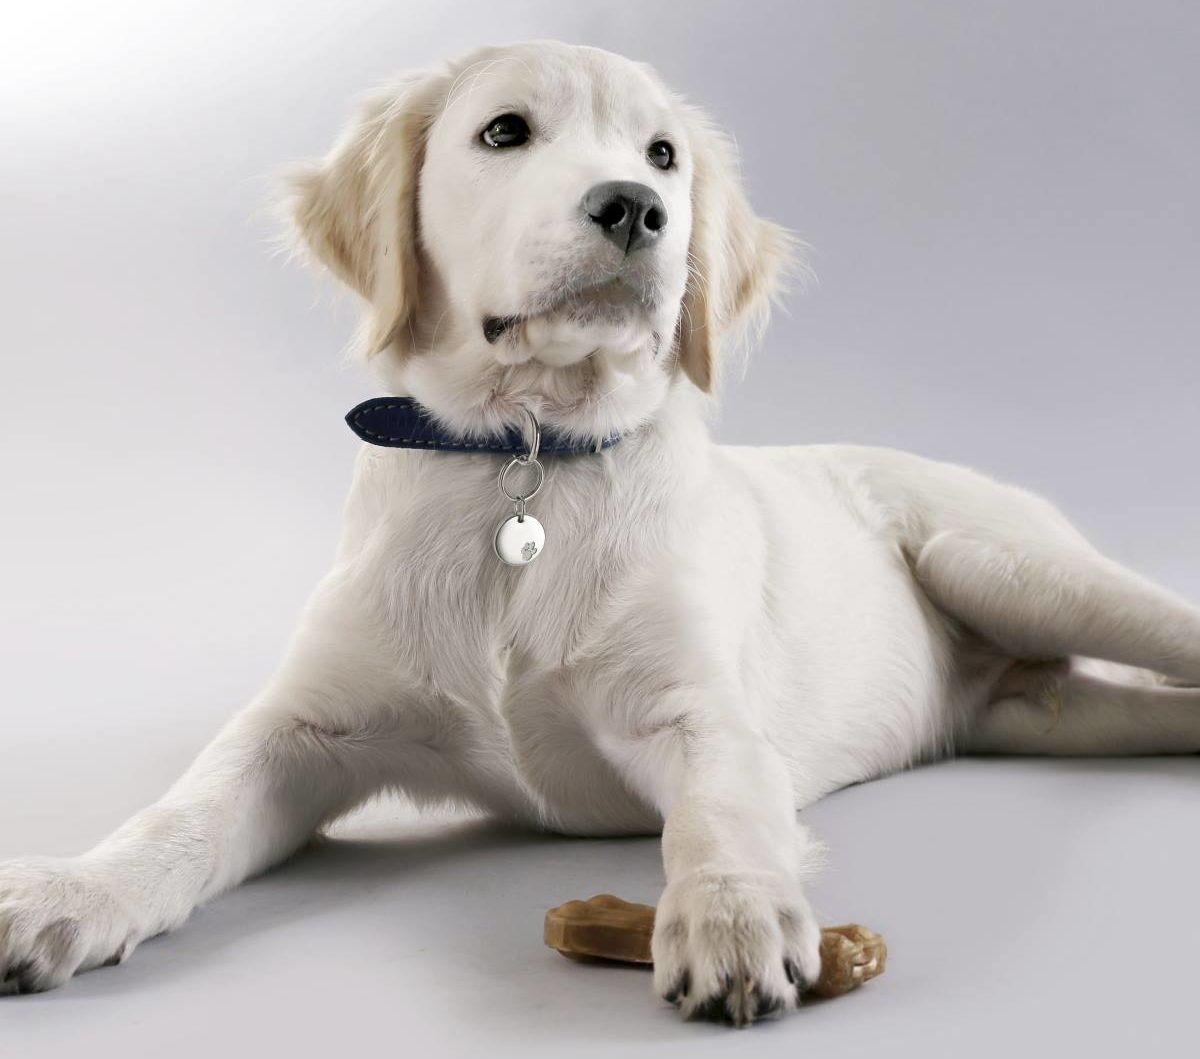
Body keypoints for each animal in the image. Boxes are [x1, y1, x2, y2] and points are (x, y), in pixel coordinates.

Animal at [2, 41, 1200, 1022]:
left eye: (664, 155)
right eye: (503, 131)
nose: (635, 208)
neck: (525, 459)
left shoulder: (700, 711)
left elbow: (720, 812)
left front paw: (731, 915)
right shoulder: (302, 731)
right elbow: (178, 816)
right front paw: (72, 888)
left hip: (1004, 565)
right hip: (1048, 716)